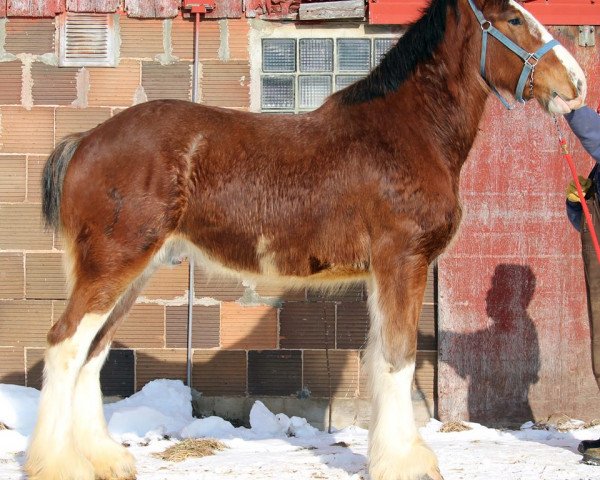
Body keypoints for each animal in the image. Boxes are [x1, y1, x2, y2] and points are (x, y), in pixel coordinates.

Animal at [25, 0, 584, 480]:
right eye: (513, 19)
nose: (576, 83)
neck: (407, 133)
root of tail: (84, 141)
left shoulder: (382, 274)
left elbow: (380, 357)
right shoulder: (403, 261)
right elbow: (399, 358)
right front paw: (409, 464)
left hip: (131, 273)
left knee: (93, 352)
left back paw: (105, 459)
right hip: (113, 264)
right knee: (66, 344)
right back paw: (58, 465)